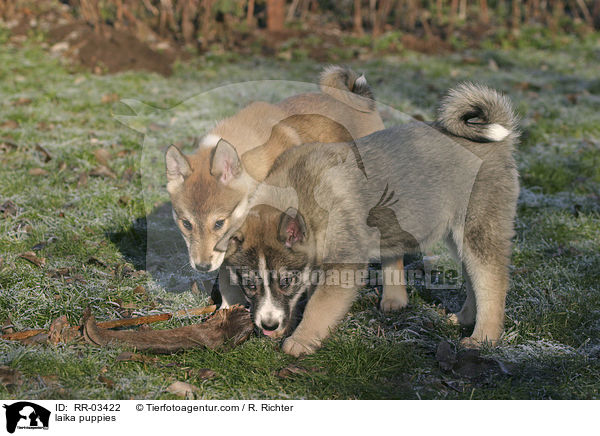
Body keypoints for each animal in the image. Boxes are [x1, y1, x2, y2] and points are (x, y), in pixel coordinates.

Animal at [223, 83, 516, 356]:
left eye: (285, 282)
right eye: (250, 285)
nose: (268, 325)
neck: (302, 190)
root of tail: (499, 143)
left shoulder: (343, 266)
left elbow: (319, 307)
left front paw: (300, 340)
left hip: (479, 228)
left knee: (491, 281)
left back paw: (483, 338)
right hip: (460, 236)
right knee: (472, 278)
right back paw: (465, 318)